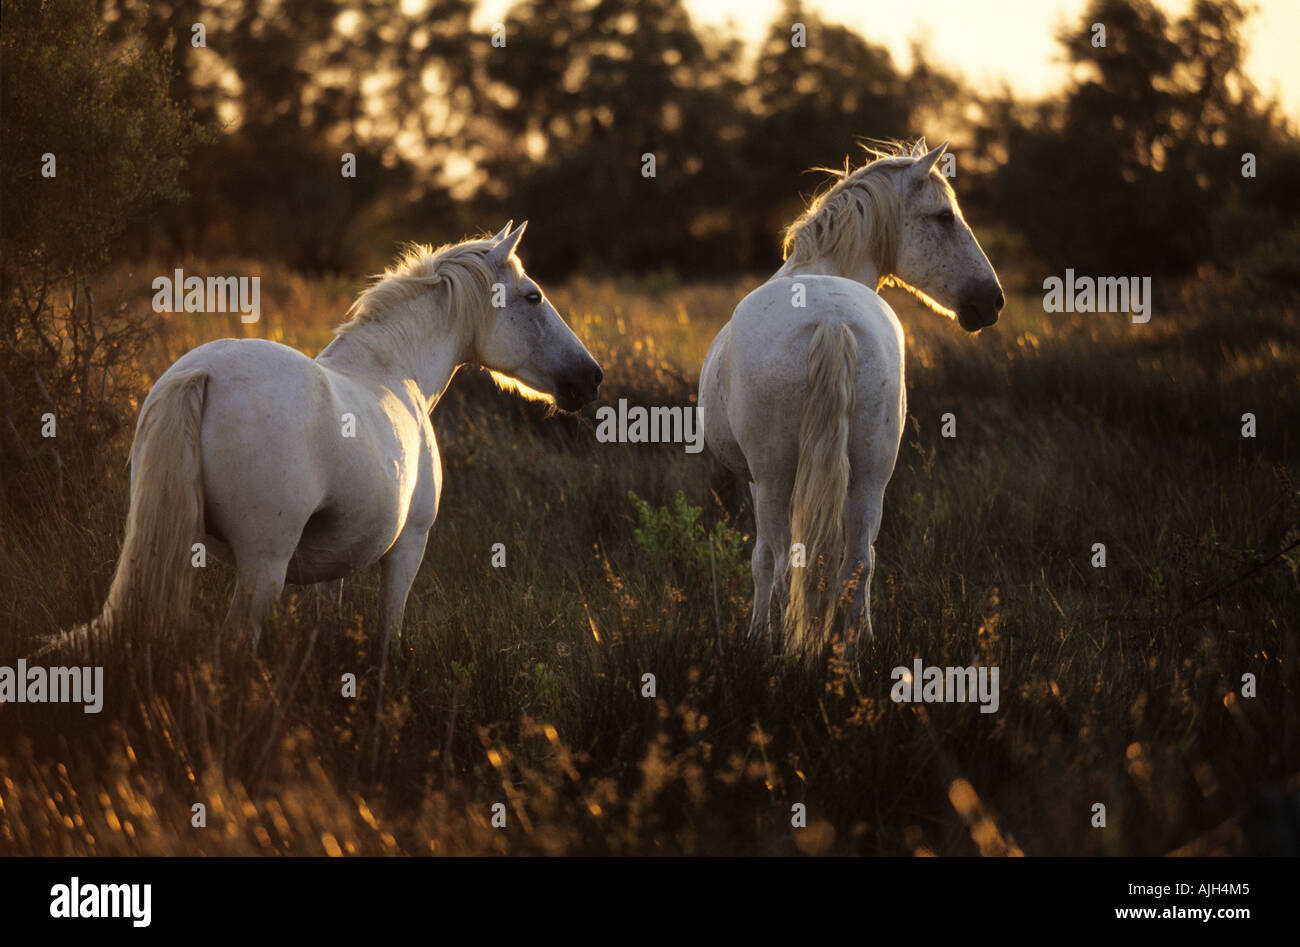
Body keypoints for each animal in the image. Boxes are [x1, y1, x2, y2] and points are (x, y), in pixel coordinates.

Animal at [63, 222, 600, 650]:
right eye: (533, 296)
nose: (590, 377)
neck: (393, 366)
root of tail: (203, 373)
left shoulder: (333, 564)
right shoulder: (409, 548)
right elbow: (389, 637)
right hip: (263, 565)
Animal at [702, 138, 1003, 666]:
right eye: (945, 217)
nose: (993, 300)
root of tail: (831, 318)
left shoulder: (758, 480)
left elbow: (762, 561)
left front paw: (758, 635)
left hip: (777, 478)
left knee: (783, 562)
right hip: (870, 475)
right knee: (859, 560)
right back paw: (855, 650)